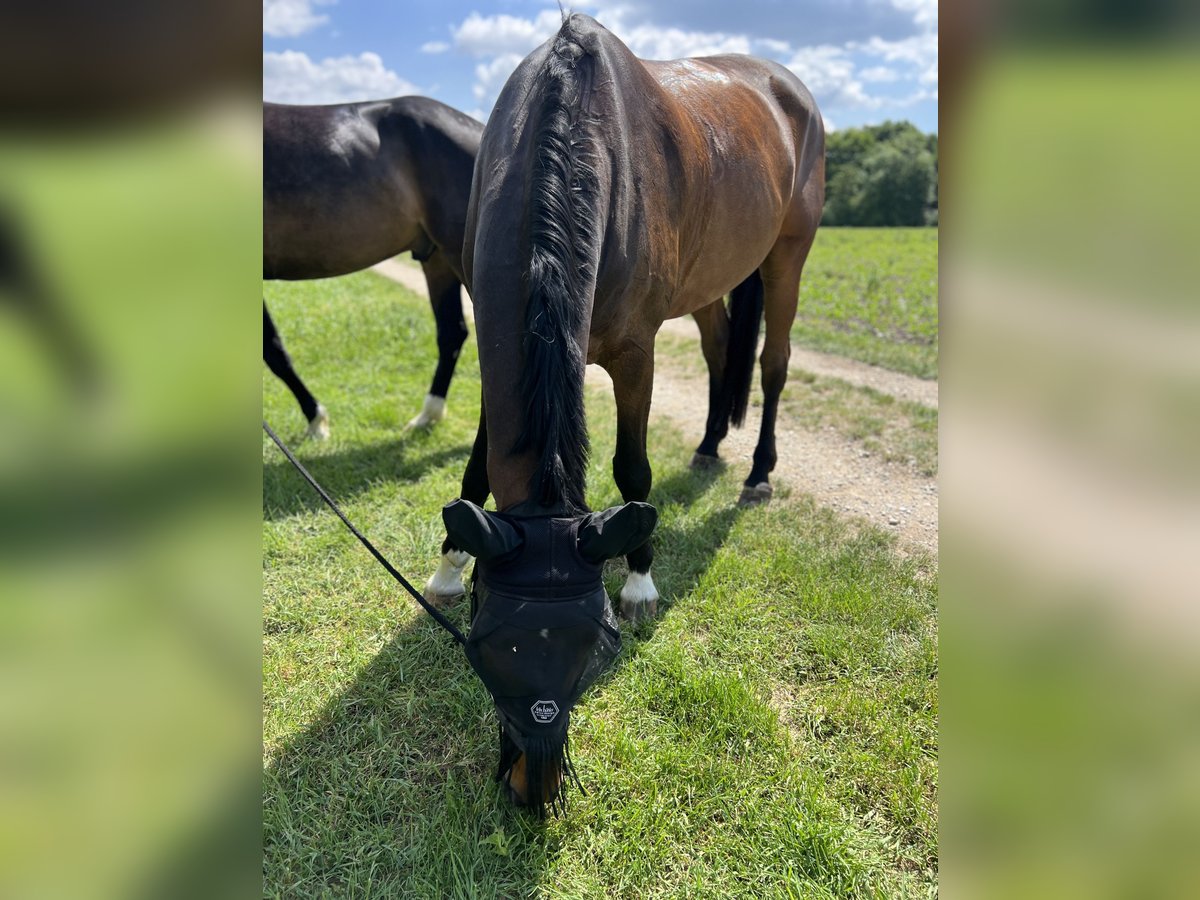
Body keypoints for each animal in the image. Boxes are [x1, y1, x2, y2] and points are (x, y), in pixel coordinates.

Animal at [428, 14, 824, 813]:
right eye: (485, 647)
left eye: (598, 643)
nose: (535, 788)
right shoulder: (496, 336)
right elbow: (479, 462)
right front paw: (451, 564)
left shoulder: (637, 353)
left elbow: (631, 468)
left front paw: (640, 580)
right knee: (719, 346)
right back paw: (708, 446)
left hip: (789, 253)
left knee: (772, 364)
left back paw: (757, 473)